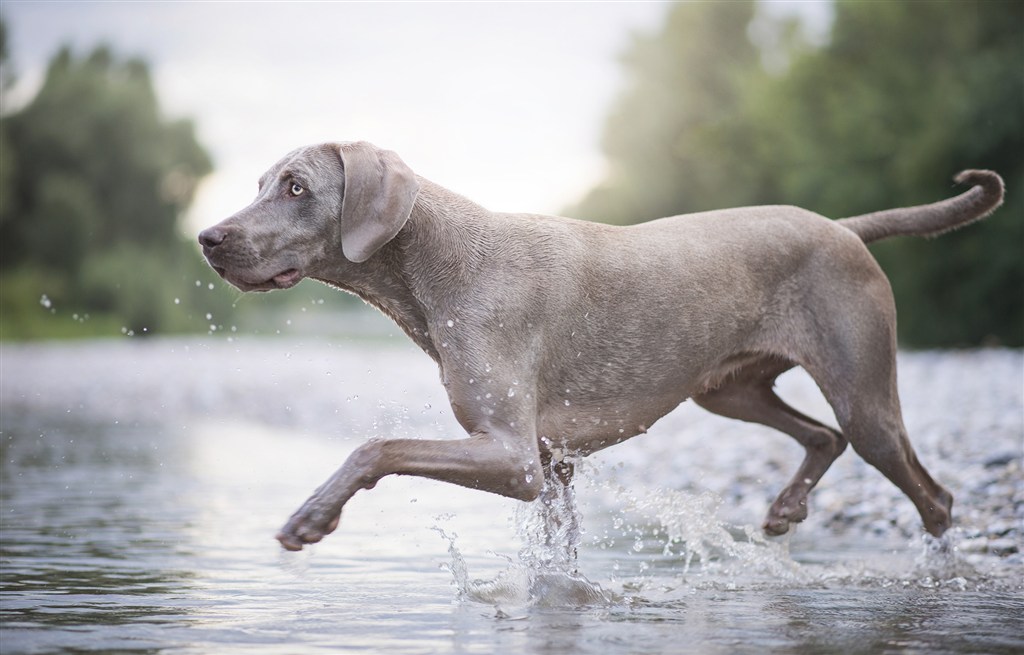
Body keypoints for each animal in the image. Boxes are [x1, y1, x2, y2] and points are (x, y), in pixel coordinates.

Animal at [195, 141, 1003, 548]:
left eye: (296, 187)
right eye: (261, 182)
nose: (208, 237)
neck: (439, 264)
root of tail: (843, 227)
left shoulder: (514, 457)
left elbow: (375, 446)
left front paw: (312, 516)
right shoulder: (551, 465)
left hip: (865, 394)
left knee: (933, 496)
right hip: (728, 389)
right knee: (823, 436)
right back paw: (783, 510)